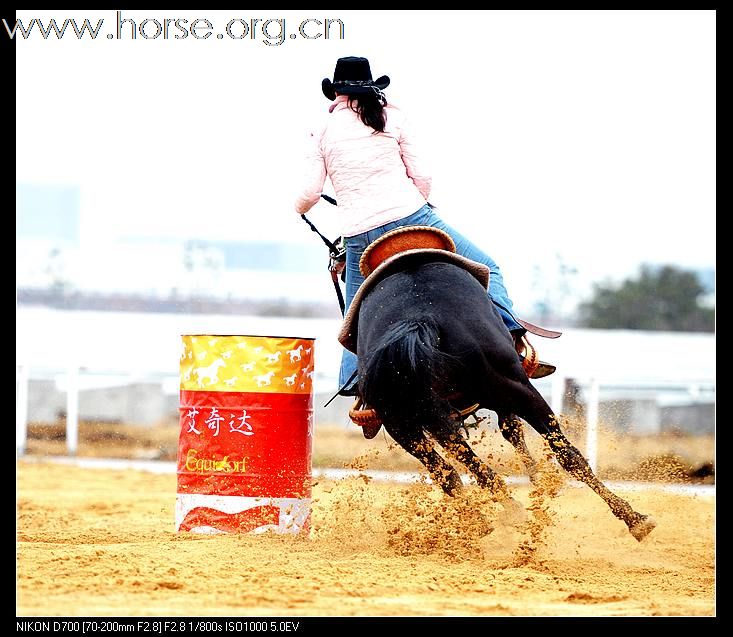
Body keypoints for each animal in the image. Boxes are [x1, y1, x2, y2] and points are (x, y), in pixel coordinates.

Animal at [350, 253, 656, 540]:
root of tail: (417, 317)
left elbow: (508, 433)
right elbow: (522, 434)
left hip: (404, 423)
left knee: (452, 472)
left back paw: (489, 518)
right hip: (515, 387)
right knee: (567, 454)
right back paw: (634, 519)